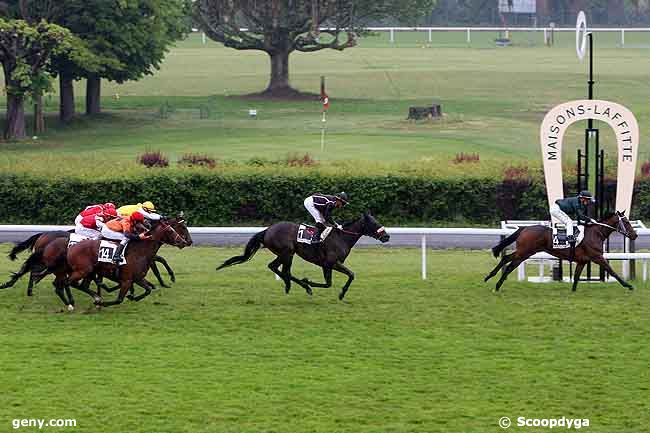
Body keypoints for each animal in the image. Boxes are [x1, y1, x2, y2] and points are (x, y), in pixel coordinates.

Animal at [61, 216, 191, 308]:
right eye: (171, 230)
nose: (185, 242)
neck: (139, 252)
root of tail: (72, 247)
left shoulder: (137, 278)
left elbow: (147, 290)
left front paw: (134, 296)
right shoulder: (127, 280)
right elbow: (119, 299)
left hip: (90, 271)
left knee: (81, 285)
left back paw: (95, 296)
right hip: (83, 270)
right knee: (69, 282)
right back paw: (75, 301)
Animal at [215, 211, 388, 298]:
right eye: (375, 223)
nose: (387, 236)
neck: (341, 237)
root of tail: (267, 230)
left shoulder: (326, 265)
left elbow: (329, 283)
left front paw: (310, 283)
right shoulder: (332, 263)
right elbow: (351, 275)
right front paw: (339, 293)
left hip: (285, 254)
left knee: (276, 267)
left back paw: (292, 285)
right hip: (287, 253)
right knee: (283, 270)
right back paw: (298, 285)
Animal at [484, 209, 636, 290]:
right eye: (626, 221)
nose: (635, 235)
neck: (595, 233)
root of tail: (524, 228)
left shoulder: (583, 261)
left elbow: (576, 277)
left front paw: (573, 292)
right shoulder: (597, 257)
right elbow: (612, 271)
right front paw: (628, 285)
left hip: (524, 252)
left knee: (506, 258)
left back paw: (489, 277)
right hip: (525, 253)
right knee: (510, 265)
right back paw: (497, 285)